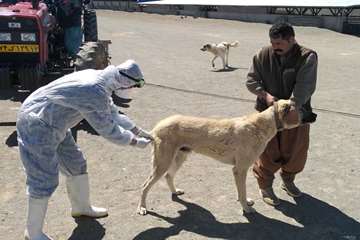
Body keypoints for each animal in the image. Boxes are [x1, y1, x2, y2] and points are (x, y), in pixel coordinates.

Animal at [138, 98, 300, 215]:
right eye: (300, 110)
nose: (309, 115)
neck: (261, 124)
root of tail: (156, 127)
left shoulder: (238, 170)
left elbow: (241, 191)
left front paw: (244, 202)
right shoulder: (240, 169)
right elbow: (242, 191)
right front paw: (246, 209)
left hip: (179, 158)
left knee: (168, 176)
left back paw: (174, 191)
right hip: (162, 163)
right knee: (145, 185)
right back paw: (142, 207)